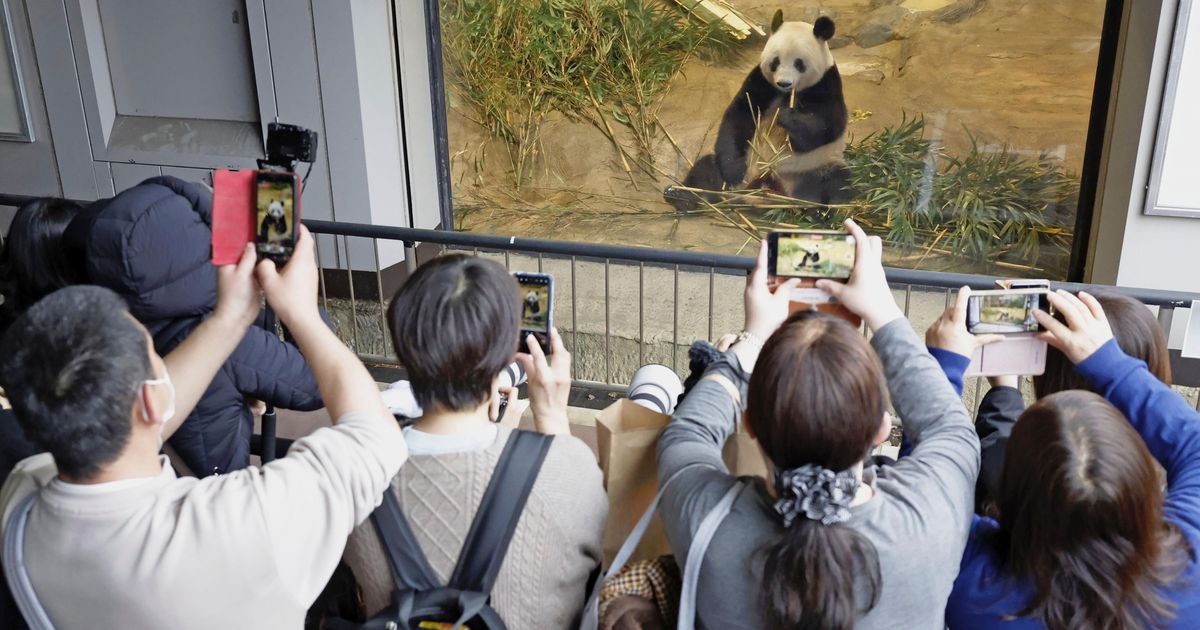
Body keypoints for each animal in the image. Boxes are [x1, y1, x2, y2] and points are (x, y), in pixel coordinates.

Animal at [668, 11, 850, 211]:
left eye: (799, 63)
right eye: (775, 62)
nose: (784, 83)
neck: (786, 93)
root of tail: (766, 185)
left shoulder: (826, 83)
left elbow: (826, 127)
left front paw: (788, 117)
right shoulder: (761, 81)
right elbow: (739, 116)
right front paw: (733, 171)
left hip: (813, 166)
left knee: (835, 181)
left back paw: (818, 210)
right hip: (746, 167)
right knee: (707, 168)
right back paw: (683, 196)